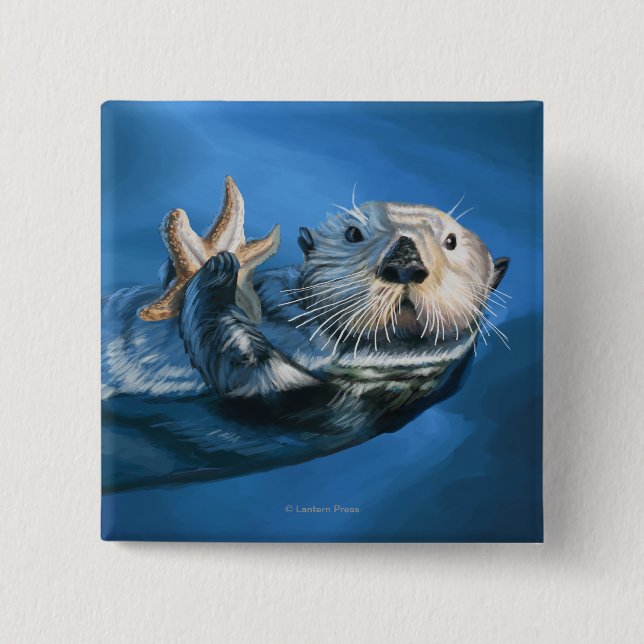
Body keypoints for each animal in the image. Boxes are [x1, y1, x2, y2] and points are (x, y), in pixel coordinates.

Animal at [101, 178, 509, 490]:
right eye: (353, 233)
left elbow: (250, 375)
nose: (404, 263)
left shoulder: (337, 403)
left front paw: (217, 270)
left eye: (451, 242)